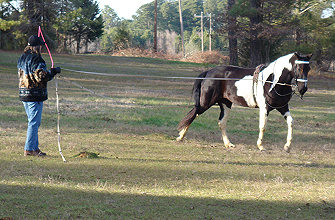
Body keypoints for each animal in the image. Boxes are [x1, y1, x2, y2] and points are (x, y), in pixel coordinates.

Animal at [177, 52, 314, 152]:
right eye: (298, 67)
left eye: (308, 68)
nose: (303, 88)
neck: (272, 81)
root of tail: (208, 72)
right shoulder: (264, 108)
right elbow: (263, 126)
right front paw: (260, 146)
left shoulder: (283, 107)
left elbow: (290, 122)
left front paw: (287, 146)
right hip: (205, 103)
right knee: (193, 114)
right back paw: (180, 137)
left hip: (226, 104)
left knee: (221, 122)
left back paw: (228, 144)